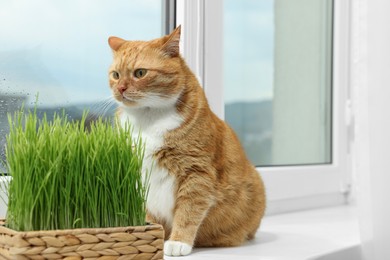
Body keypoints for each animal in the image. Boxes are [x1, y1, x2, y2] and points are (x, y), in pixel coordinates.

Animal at [107, 25, 266, 256]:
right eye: (115, 75)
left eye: (140, 73)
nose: (120, 89)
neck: (147, 120)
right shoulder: (137, 175)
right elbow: (150, 215)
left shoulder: (196, 173)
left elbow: (188, 211)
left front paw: (178, 241)